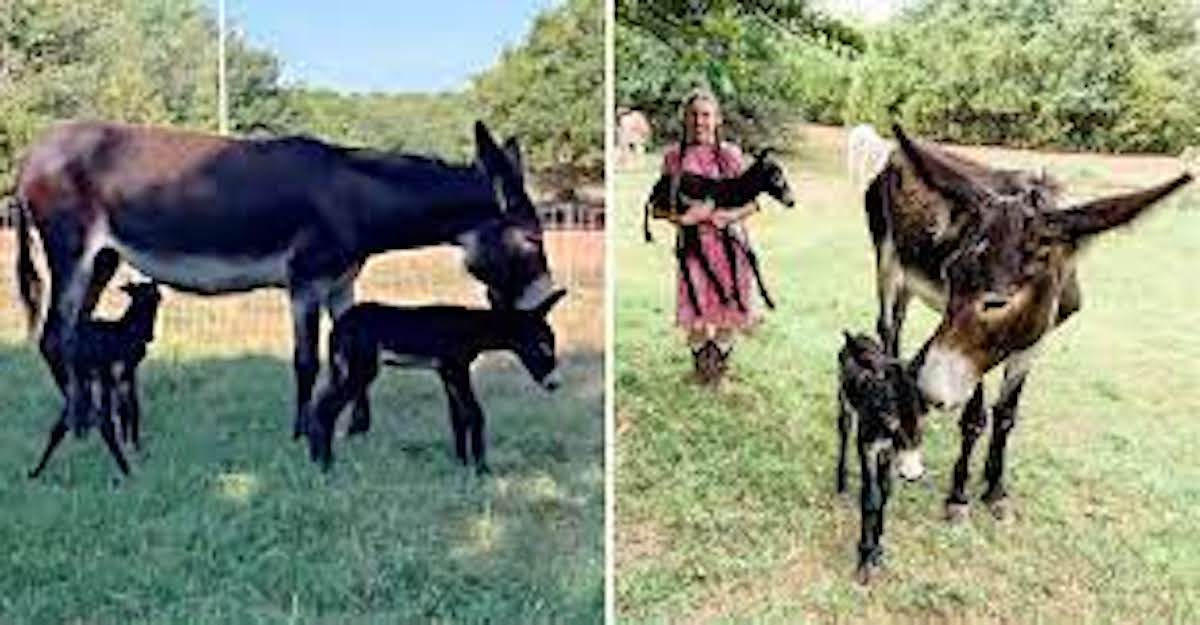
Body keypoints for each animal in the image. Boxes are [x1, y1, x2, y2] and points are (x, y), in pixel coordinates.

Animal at [28, 280, 160, 475]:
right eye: (153, 297)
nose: (150, 336)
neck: (129, 327)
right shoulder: (120, 373)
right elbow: (129, 410)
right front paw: (134, 449)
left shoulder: (124, 376)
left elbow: (128, 411)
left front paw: (133, 447)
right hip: (98, 378)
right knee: (102, 420)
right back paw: (126, 470)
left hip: (80, 380)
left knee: (63, 422)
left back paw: (36, 471)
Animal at [304, 290, 566, 470]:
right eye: (543, 346)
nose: (555, 384)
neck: (470, 328)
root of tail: (340, 325)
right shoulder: (457, 369)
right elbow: (475, 414)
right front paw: (481, 469)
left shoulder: (447, 373)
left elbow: (458, 418)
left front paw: (462, 464)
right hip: (362, 369)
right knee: (327, 410)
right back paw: (327, 467)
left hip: (342, 368)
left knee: (317, 406)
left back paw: (315, 461)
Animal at [643, 150, 792, 314]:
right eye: (775, 176)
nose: (791, 202)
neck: (733, 192)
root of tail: (657, 186)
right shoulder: (723, 226)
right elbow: (732, 259)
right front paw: (740, 303)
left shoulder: (734, 224)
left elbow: (750, 255)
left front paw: (769, 301)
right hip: (686, 220)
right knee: (689, 252)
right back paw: (710, 301)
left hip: (687, 223)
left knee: (686, 252)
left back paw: (707, 302)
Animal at [835, 333, 926, 583]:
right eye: (890, 405)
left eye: (921, 408)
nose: (913, 472)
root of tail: (860, 336)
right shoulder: (866, 447)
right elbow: (872, 497)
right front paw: (864, 558)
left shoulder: (888, 451)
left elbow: (885, 491)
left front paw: (877, 550)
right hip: (843, 400)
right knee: (844, 432)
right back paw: (841, 483)